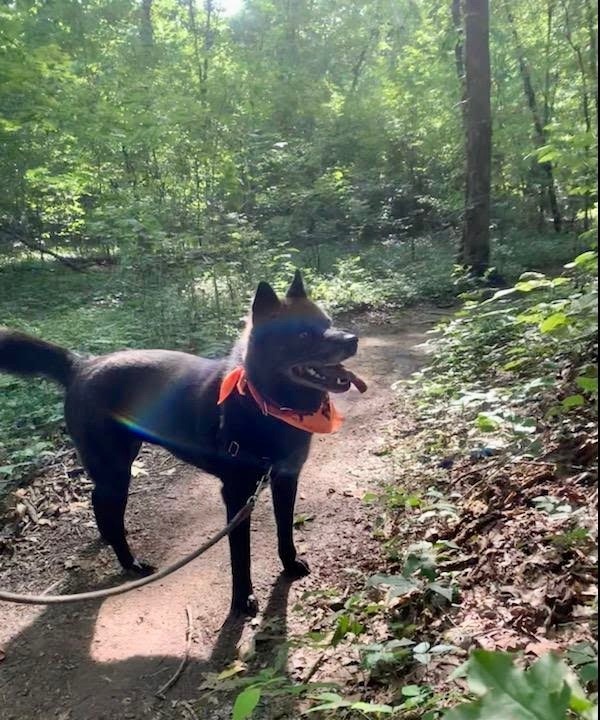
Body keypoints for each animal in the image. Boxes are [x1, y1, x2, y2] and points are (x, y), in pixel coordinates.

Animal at [0, 272, 366, 616]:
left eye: (328, 322)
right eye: (303, 335)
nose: (353, 340)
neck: (265, 404)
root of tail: (81, 364)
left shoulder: (286, 479)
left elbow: (285, 531)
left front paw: (289, 565)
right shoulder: (236, 496)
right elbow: (240, 557)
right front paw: (242, 599)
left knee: (98, 501)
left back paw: (106, 538)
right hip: (115, 468)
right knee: (108, 507)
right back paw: (129, 562)